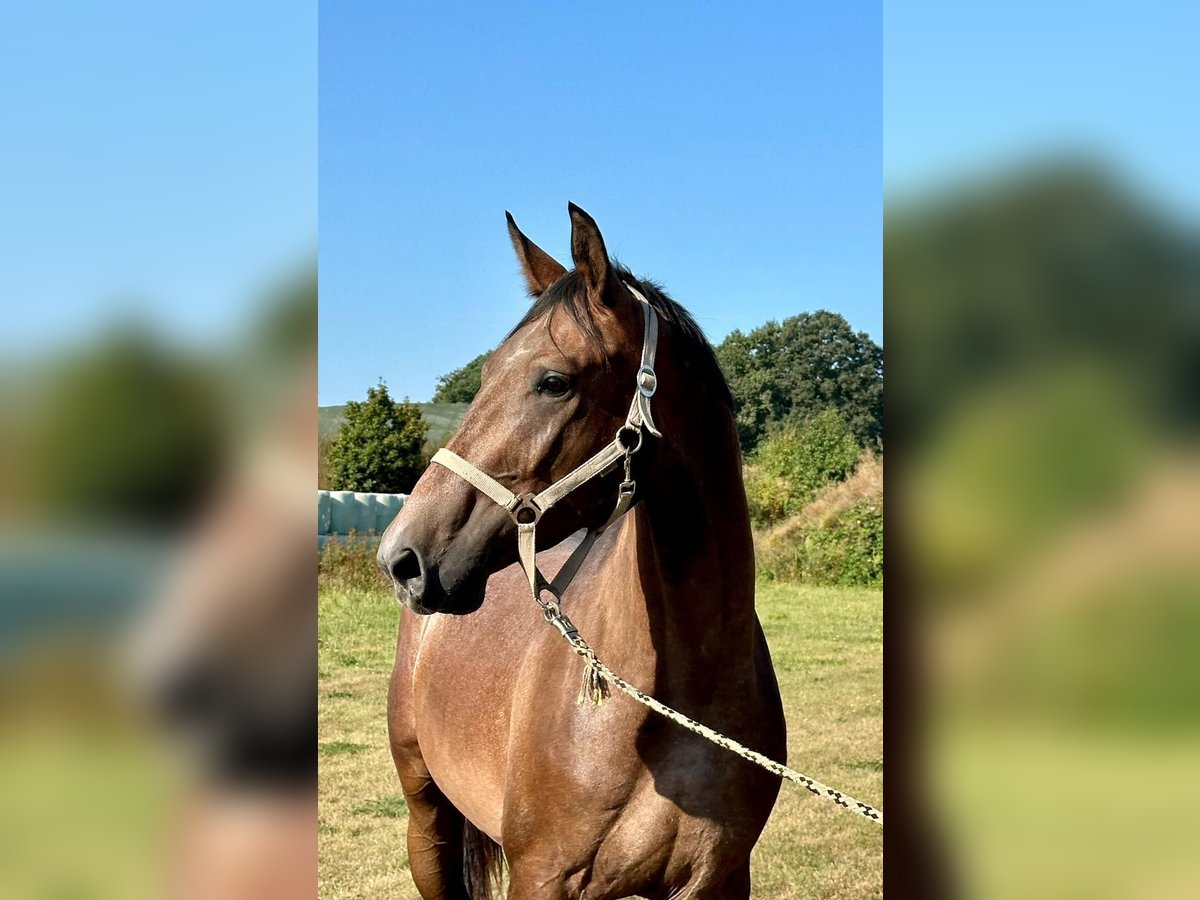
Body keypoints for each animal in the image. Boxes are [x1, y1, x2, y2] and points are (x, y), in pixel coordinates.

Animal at [376, 206, 787, 900]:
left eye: (553, 381)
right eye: (484, 375)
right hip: (426, 819)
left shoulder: (721, 879)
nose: (401, 558)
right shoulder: (541, 876)